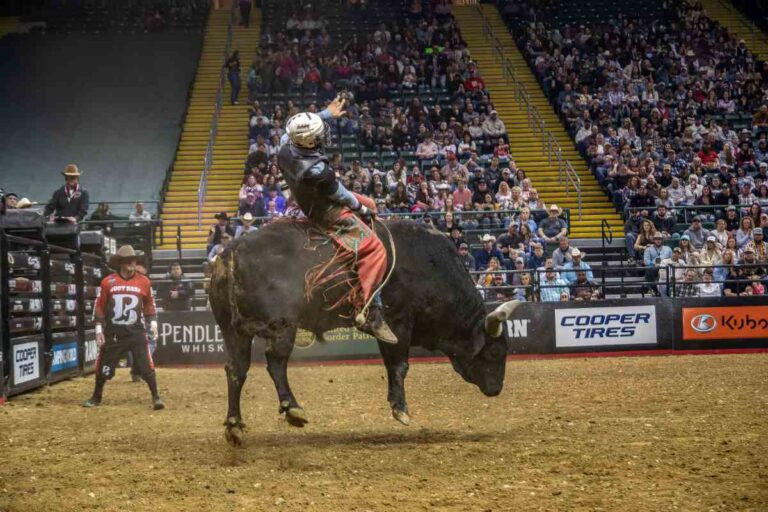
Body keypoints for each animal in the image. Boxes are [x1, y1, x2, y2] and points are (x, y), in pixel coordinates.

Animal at [210, 218, 520, 446]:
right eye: (495, 352)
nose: (496, 389)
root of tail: (231, 255)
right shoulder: (398, 322)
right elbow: (399, 365)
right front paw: (401, 408)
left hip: (232, 330)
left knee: (236, 370)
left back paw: (234, 425)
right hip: (282, 325)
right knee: (275, 362)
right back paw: (292, 408)